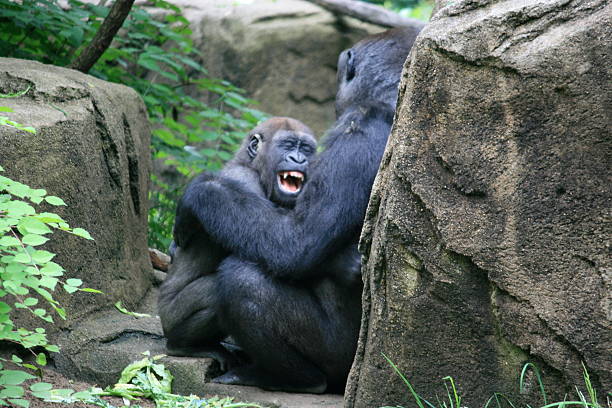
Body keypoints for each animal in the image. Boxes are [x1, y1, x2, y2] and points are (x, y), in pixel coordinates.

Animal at [155, 117, 318, 366]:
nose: (299, 159)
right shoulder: (244, 180)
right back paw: (182, 345)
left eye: (306, 149)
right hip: (169, 317)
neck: (252, 165)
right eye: (288, 145)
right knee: (215, 294)